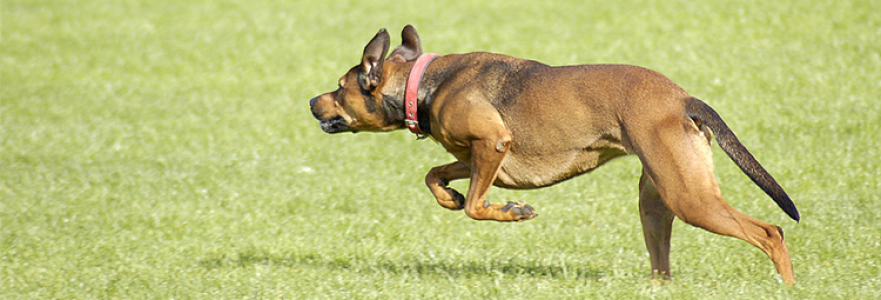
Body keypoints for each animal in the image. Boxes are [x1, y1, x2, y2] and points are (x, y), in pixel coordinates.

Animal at [310, 25, 796, 284]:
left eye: (339, 86)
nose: (313, 102)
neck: (422, 85)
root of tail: (682, 99)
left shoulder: (493, 145)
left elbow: (475, 206)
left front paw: (512, 212)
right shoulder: (476, 158)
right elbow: (435, 175)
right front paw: (447, 196)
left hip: (688, 196)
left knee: (770, 231)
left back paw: (786, 286)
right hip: (657, 198)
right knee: (663, 262)